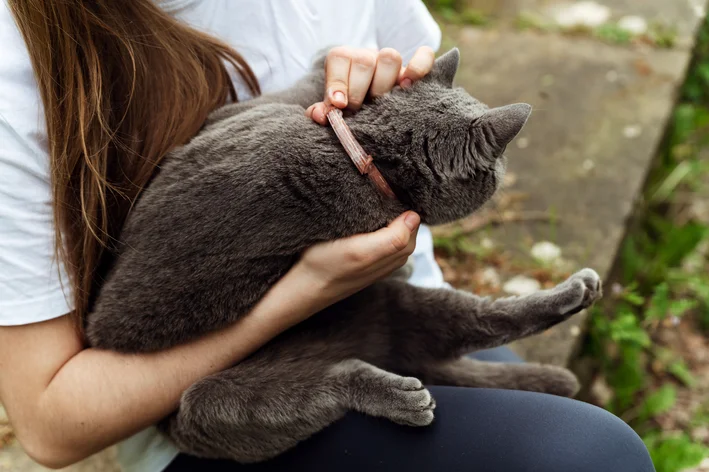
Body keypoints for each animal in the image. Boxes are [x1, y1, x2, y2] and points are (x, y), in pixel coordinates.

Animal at [85, 49, 600, 462]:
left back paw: (575, 293)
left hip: (396, 305)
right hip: (202, 407)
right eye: (498, 169)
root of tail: (383, 350)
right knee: (324, 385)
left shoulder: (232, 117)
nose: (504, 175)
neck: (366, 152)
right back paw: (400, 395)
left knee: (484, 318)